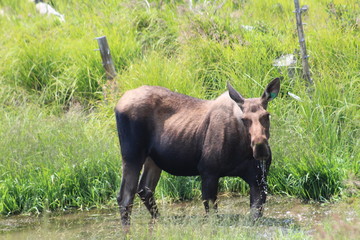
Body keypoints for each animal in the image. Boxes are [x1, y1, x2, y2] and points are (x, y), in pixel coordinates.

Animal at [115, 78, 282, 225]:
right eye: (244, 119)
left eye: (266, 115)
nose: (260, 147)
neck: (242, 150)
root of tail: (118, 102)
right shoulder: (208, 171)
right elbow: (212, 216)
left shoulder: (258, 179)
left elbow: (255, 216)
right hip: (132, 154)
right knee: (125, 196)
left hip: (153, 160)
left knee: (144, 189)